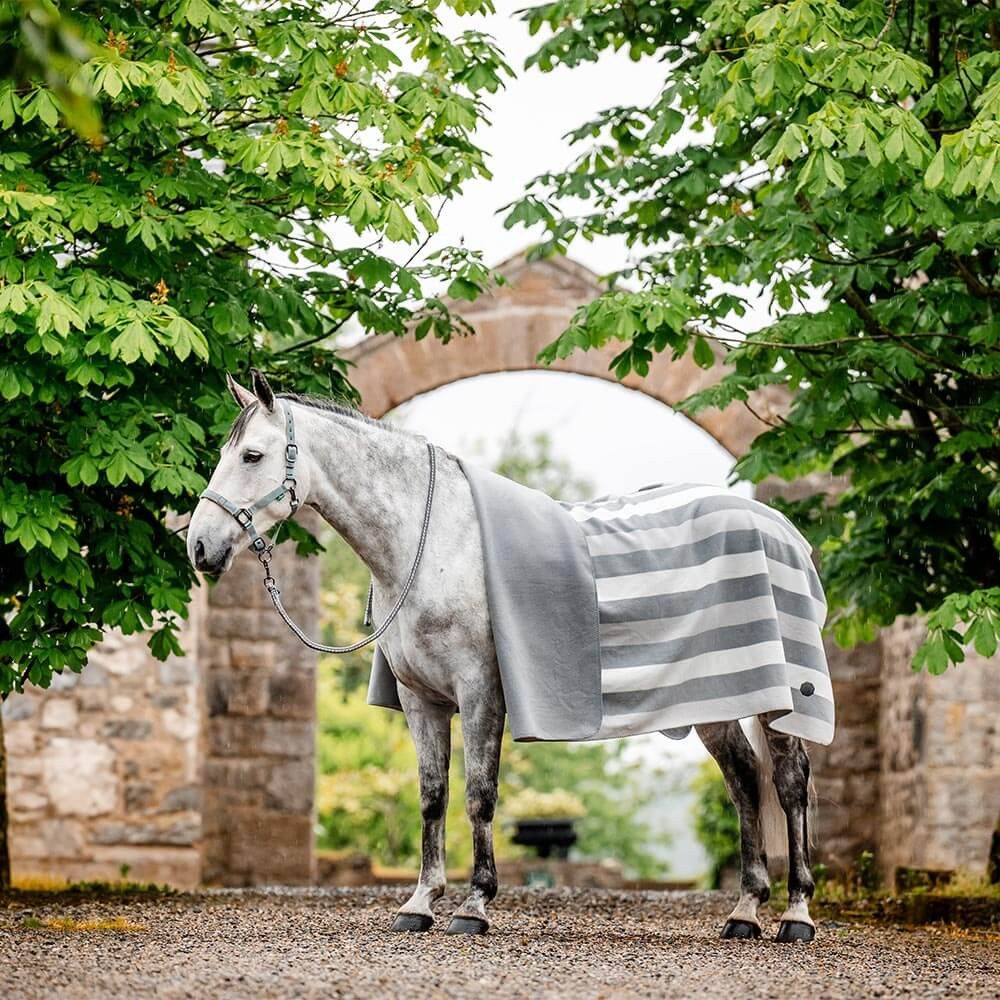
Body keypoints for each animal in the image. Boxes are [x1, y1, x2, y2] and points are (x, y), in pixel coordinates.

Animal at [186, 370, 822, 943]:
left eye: (252, 455)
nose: (199, 547)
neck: (431, 543)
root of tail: (779, 526)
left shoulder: (480, 692)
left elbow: (479, 794)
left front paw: (475, 905)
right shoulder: (421, 700)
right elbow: (433, 797)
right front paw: (420, 903)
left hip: (780, 697)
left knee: (789, 782)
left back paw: (795, 914)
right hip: (716, 698)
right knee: (745, 781)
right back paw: (745, 912)